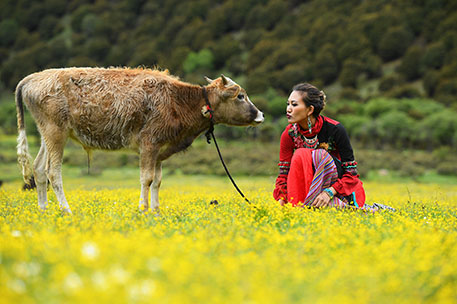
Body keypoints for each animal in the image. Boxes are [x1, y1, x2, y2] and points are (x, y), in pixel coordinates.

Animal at [15, 67, 264, 214]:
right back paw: (65, 210)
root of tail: (33, 77)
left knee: (39, 169)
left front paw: (155, 210)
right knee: (53, 172)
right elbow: (147, 178)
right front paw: (143, 209)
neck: (179, 101)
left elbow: (158, 181)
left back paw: (44, 209)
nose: (261, 114)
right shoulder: (149, 144)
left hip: (48, 134)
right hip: (55, 132)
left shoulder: (160, 150)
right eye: (240, 96)